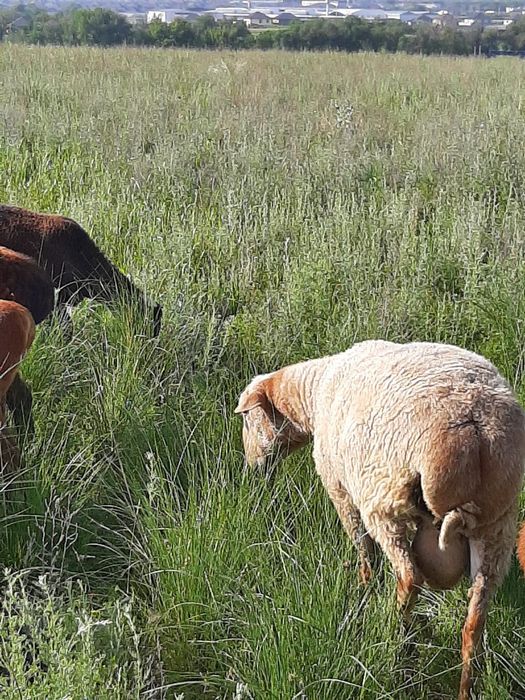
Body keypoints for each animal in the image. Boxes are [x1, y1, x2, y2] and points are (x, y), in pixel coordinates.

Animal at [235, 340, 525, 700]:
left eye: (247, 421)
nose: (252, 472)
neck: (314, 394)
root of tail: (476, 429)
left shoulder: (340, 489)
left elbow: (364, 550)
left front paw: (363, 586)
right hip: (498, 524)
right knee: (475, 618)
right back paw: (465, 686)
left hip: (384, 501)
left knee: (409, 576)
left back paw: (398, 642)